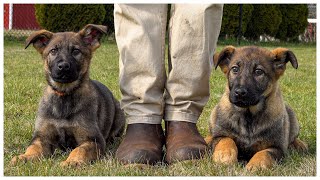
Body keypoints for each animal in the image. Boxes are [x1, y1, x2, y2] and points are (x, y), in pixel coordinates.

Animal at [10, 24, 125, 167]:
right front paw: (24, 157)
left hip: (120, 113)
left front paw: (72, 161)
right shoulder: (42, 137)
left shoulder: (93, 140)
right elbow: (33, 148)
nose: (63, 66)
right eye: (53, 51)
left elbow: (80, 149)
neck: (64, 94)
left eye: (76, 51)